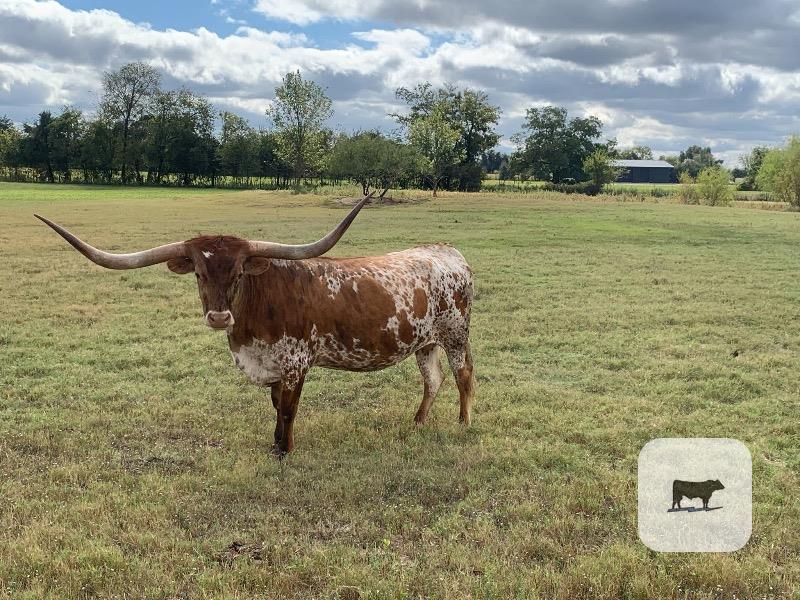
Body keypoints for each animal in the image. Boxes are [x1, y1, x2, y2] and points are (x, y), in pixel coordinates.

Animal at [35, 196, 475, 456]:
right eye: (198, 273)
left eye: (238, 273)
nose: (218, 316)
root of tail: (448, 252)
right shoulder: (271, 365)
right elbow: (275, 406)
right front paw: (274, 444)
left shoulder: (296, 363)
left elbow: (289, 409)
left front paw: (285, 450)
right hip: (424, 341)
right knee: (433, 379)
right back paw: (417, 423)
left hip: (455, 335)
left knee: (464, 375)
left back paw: (463, 424)